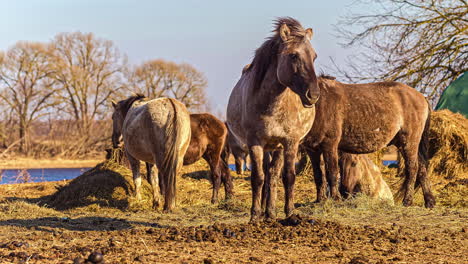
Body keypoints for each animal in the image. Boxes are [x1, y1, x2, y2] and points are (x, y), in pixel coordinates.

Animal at [226, 17, 320, 222]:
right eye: (294, 56)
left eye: (314, 56)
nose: (313, 95)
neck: (273, 105)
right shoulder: (255, 143)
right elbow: (257, 178)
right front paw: (254, 216)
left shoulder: (290, 142)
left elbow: (288, 176)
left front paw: (290, 214)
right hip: (267, 147)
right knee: (266, 174)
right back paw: (264, 212)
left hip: (277, 147)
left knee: (274, 174)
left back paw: (270, 213)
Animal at [302, 76, 436, 208]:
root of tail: (421, 97)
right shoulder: (312, 150)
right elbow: (318, 175)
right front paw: (320, 200)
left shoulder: (329, 146)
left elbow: (332, 173)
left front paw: (335, 200)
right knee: (422, 168)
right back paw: (429, 202)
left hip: (409, 142)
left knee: (412, 169)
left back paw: (407, 201)